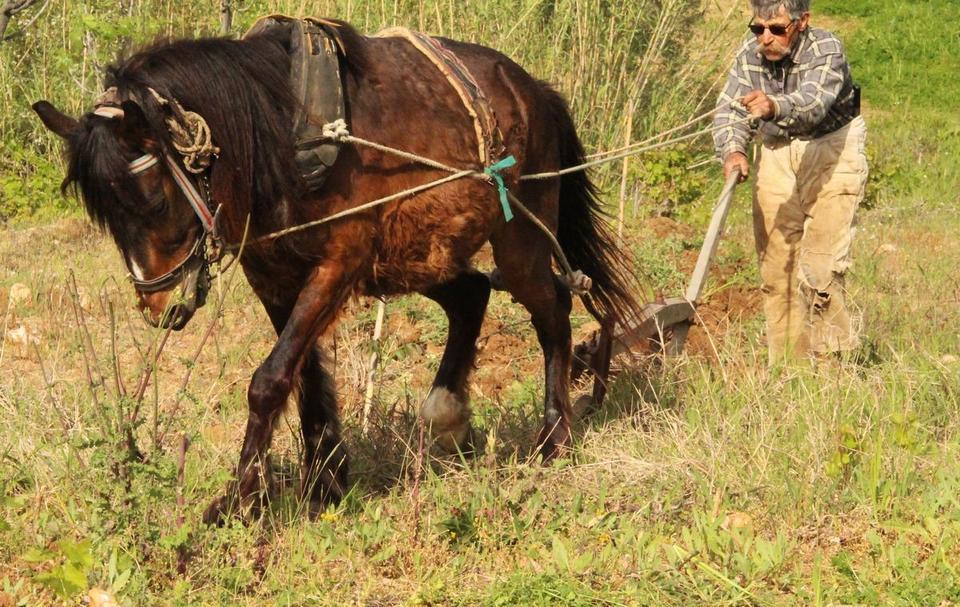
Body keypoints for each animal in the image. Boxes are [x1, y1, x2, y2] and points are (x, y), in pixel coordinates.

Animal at [33, 19, 640, 524]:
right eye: (107, 216)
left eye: (154, 198)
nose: (160, 305)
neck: (283, 133)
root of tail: (536, 90)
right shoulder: (274, 277)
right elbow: (301, 377)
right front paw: (325, 481)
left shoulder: (339, 263)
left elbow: (268, 381)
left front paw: (239, 501)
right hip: (419, 254)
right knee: (470, 295)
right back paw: (449, 417)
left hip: (518, 240)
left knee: (553, 311)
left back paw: (553, 437)